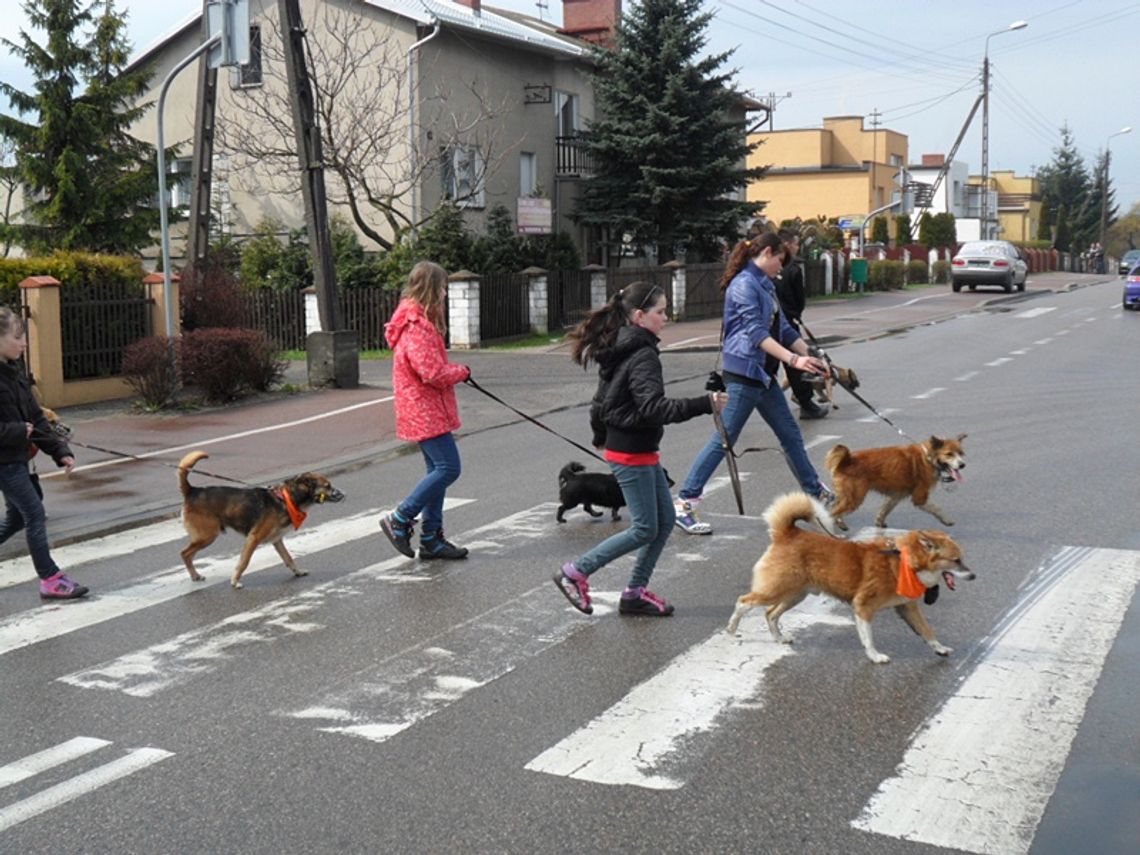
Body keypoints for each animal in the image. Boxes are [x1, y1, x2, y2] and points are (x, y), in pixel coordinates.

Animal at [175, 456, 344, 588]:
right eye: (327, 486)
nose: (343, 494)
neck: (286, 499)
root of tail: (192, 490)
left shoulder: (277, 540)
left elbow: (288, 558)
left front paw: (298, 571)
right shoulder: (253, 538)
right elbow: (244, 562)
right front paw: (235, 581)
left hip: (205, 536)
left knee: (187, 554)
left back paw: (195, 576)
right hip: (207, 536)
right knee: (184, 553)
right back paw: (194, 575)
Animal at [725, 492, 975, 665]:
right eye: (956, 560)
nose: (973, 575)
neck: (904, 560)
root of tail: (787, 533)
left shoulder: (908, 608)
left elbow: (927, 631)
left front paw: (939, 648)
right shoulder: (863, 607)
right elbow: (868, 637)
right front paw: (875, 656)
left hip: (795, 594)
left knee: (770, 614)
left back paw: (779, 638)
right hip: (776, 589)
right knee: (744, 601)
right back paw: (731, 628)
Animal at [825, 437, 966, 533]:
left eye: (961, 453)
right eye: (949, 454)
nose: (962, 465)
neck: (928, 457)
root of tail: (846, 460)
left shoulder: (896, 495)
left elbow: (885, 509)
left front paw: (879, 522)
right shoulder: (919, 497)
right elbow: (937, 509)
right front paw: (947, 520)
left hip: (846, 496)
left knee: (833, 508)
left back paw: (840, 524)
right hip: (854, 498)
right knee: (831, 512)